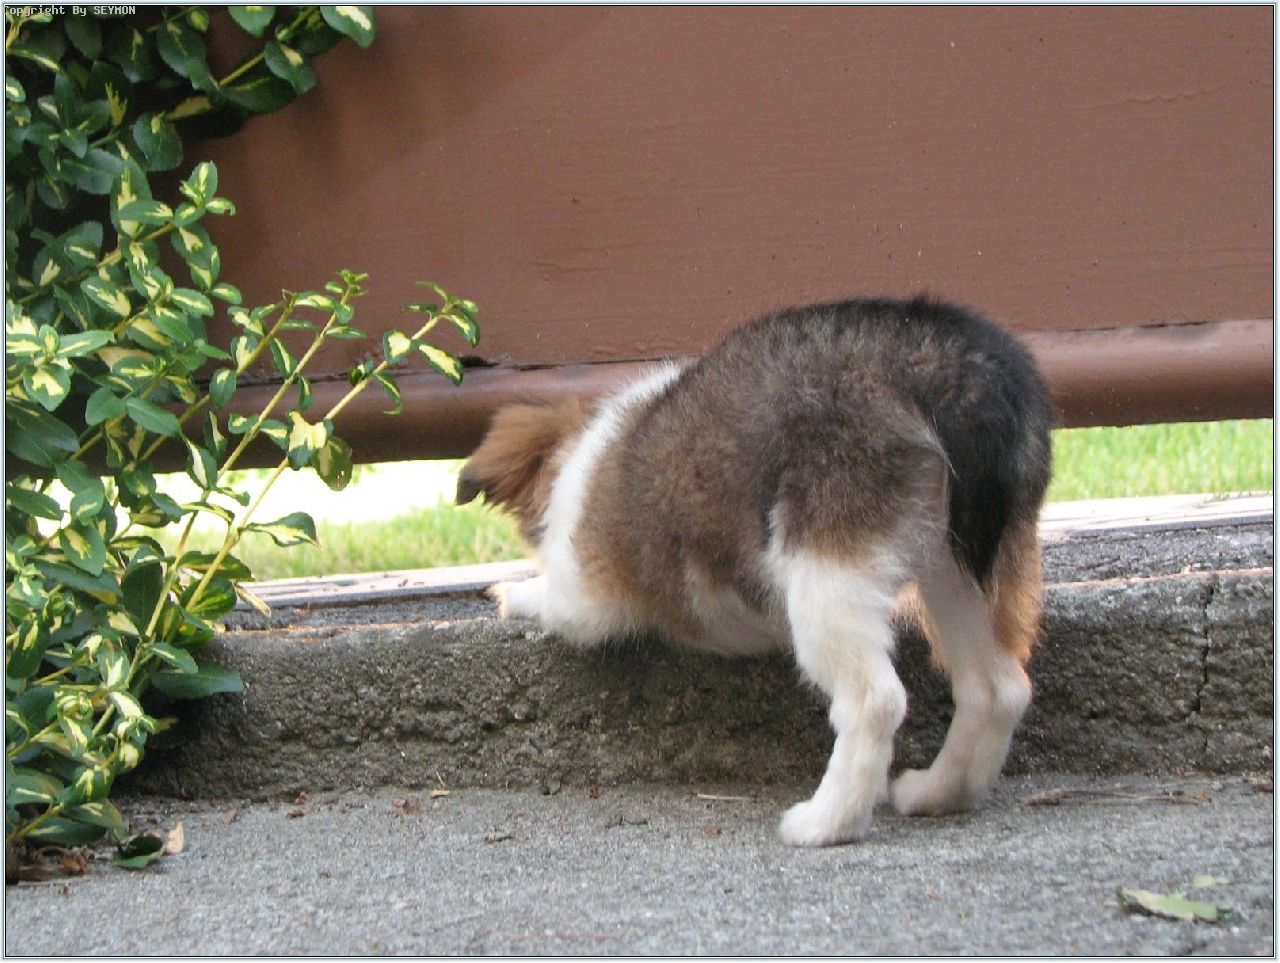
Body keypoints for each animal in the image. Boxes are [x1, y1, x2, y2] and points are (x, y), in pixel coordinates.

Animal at [456, 296, 1053, 847]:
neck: (580, 453)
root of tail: (948, 367)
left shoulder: (587, 597)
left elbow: (554, 598)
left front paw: (513, 591)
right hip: (963, 566)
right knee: (998, 689)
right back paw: (938, 793)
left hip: (826, 573)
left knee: (875, 701)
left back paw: (825, 823)